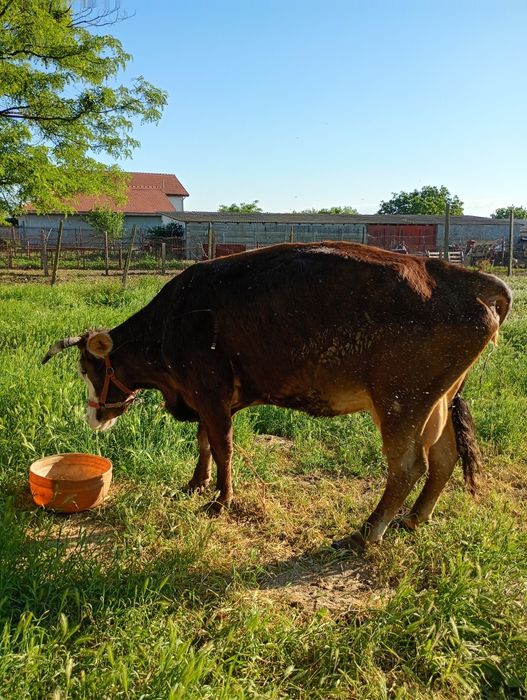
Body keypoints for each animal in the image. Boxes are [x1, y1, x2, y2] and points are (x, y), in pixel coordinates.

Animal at [42, 242, 512, 549]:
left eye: (86, 368)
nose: (92, 417)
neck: (175, 320)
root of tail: (465, 277)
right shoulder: (201, 398)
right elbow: (203, 444)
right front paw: (195, 484)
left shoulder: (211, 395)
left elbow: (223, 448)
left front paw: (221, 501)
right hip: (436, 400)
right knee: (444, 457)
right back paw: (413, 519)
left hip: (401, 401)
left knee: (408, 465)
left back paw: (366, 532)